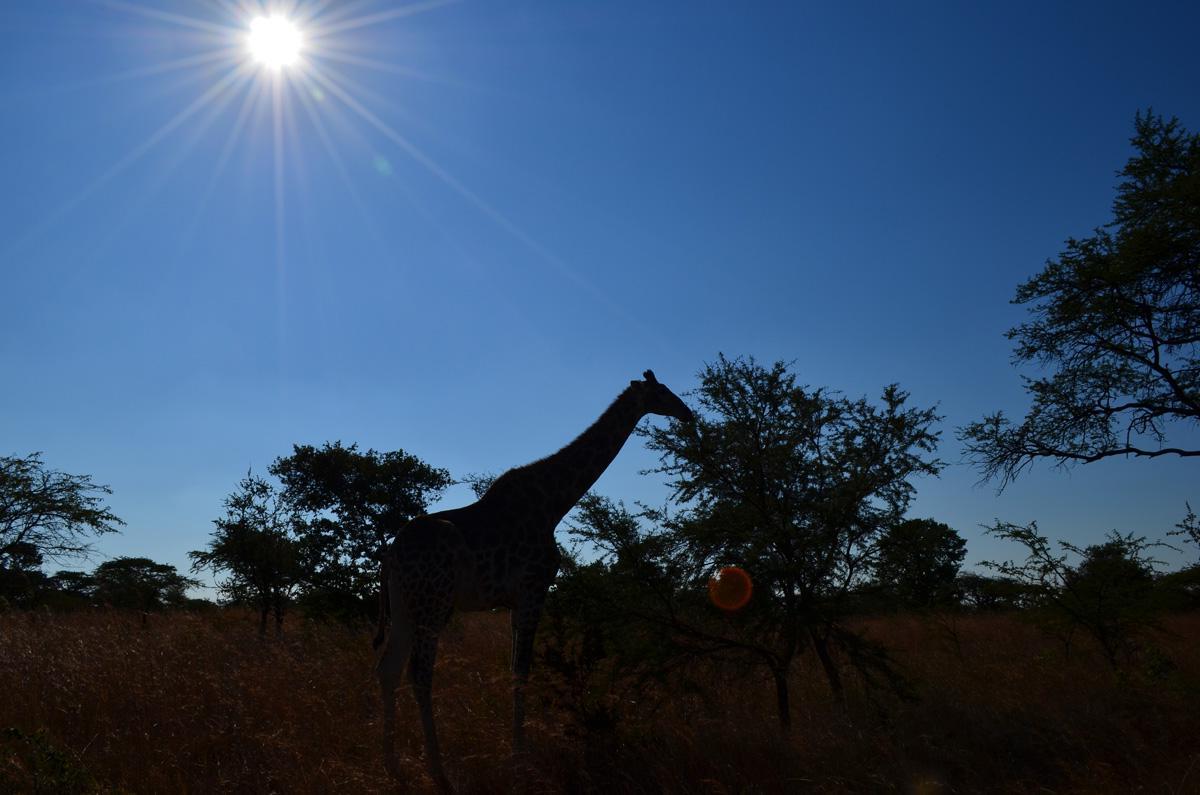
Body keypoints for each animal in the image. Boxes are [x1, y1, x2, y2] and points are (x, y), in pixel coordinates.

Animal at [373, 370, 693, 789]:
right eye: (662, 391)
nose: (687, 413)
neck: (555, 502)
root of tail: (391, 554)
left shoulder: (514, 600)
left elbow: (514, 671)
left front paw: (517, 751)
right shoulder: (533, 589)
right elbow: (522, 672)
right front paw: (520, 757)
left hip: (403, 605)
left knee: (388, 668)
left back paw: (392, 765)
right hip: (434, 602)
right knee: (419, 673)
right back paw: (439, 773)